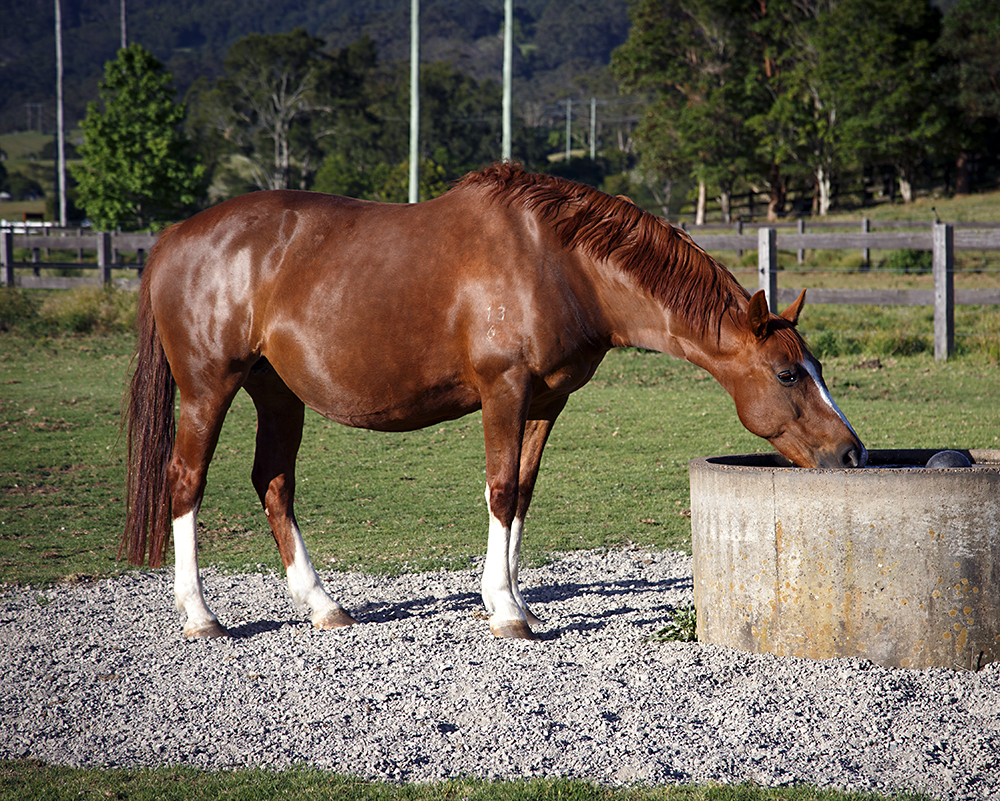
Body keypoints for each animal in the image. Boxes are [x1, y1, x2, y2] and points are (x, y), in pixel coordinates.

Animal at [122, 163, 866, 640]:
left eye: (816, 367)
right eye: (788, 374)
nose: (854, 452)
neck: (561, 265)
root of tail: (175, 236)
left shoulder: (545, 401)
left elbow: (523, 491)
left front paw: (514, 599)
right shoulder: (503, 390)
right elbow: (501, 489)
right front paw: (507, 612)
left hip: (276, 393)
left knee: (274, 483)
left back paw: (323, 605)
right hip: (209, 387)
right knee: (185, 481)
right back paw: (201, 616)